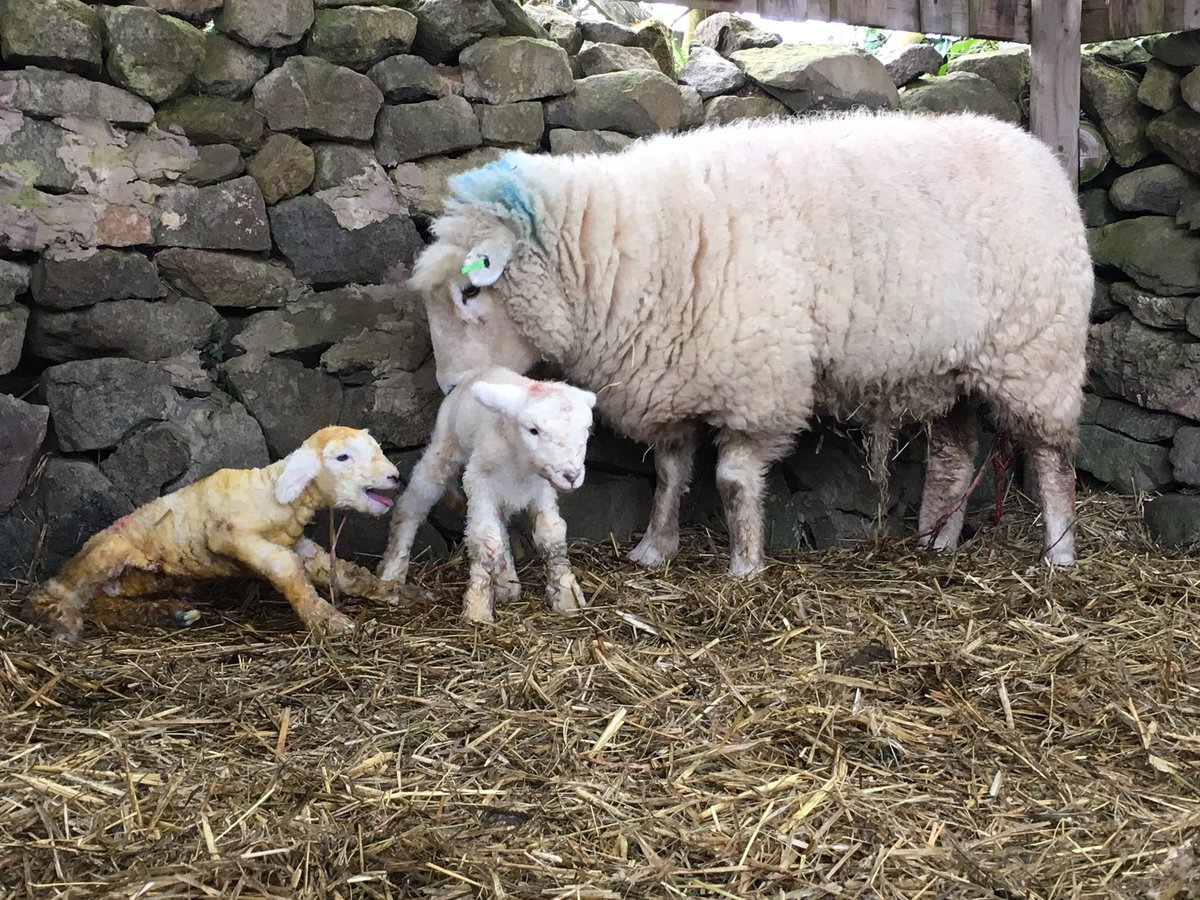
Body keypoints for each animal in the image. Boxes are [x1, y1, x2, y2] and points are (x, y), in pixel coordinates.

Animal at [23, 426, 417, 640]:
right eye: (342, 458)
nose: (395, 476)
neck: (270, 495)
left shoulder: (299, 543)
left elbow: (344, 573)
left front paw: (396, 592)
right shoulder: (230, 536)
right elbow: (285, 567)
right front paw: (329, 620)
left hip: (135, 579)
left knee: (102, 604)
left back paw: (168, 613)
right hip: (105, 554)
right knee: (54, 594)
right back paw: (65, 621)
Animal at [378, 366, 596, 624]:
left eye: (586, 431)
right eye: (533, 430)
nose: (571, 476)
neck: (521, 463)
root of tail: (476, 372)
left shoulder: (542, 489)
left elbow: (551, 536)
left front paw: (567, 597)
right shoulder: (480, 483)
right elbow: (485, 541)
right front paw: (477, 610)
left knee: (501, 526)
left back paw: (506, 585)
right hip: (444, 449)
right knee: (411, 506)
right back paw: (392, 572)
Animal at [406, 111, 1094, 575]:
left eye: (468, 293)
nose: (448, 386)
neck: (626, 248)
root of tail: (1042, 156)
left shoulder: (759, 385)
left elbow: (735, 480)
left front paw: (744, 564)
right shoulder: (676, 374)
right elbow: (671, 474)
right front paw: (654, 548)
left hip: (1037, 353)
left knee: (1052, 459)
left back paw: (1059, 554)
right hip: (953, 366)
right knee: (954, 454)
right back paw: (936, 544)